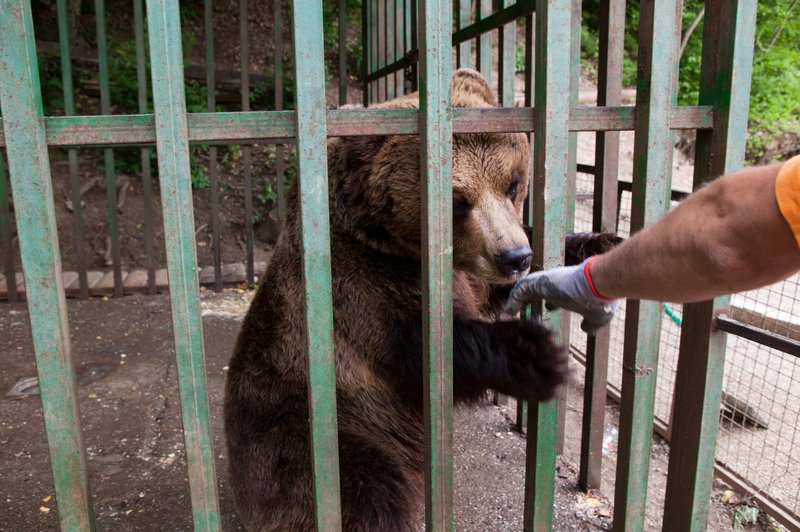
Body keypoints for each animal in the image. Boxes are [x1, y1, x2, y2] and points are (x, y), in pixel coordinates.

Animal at [223, 68, 620, 528]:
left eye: (512, 183)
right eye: (457, 201)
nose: (514, 257)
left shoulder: (464, 270)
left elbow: (492, 288)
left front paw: (599, 245)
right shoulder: (361, 288)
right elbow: (426, 349)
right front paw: (535, 353)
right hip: (314, 430)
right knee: (366, 496)